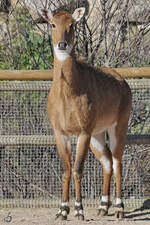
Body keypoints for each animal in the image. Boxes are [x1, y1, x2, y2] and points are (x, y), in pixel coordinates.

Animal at [38, 6, 131, 220]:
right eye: (52, 24)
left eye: (72, 24)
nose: (62, 44)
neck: (67, 93)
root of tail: (123, 82)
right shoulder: (60, 133)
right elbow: (66, 169)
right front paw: (62, 210)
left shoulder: (83, 132)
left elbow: (78, 168)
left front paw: (79, 209)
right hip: (97, 134)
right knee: (107, 161)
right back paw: (103, 207)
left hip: (117, 128)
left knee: (117, 161)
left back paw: (119, 208)